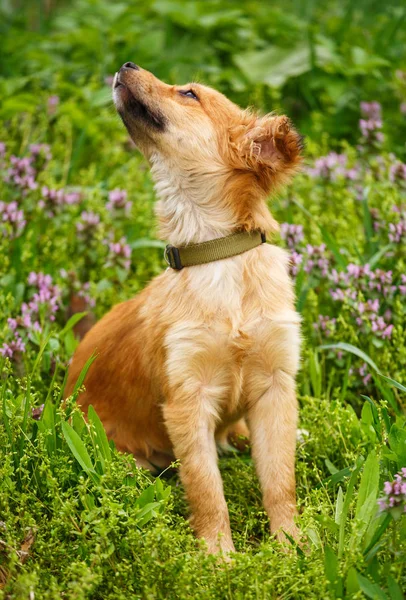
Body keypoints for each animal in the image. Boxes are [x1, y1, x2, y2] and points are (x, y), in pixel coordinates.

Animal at [65, 63, 302, 556]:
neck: (216, 254)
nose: (126, 65)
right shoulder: (188, 399)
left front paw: (293, 547)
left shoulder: (274, 388)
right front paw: (219, 557)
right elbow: (207, 489)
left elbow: (280, 482)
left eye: (189, 94)